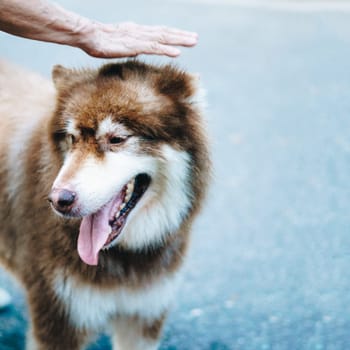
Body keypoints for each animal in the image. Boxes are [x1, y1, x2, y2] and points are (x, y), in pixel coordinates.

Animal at [0, 60, 209, 350]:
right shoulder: (59, 318)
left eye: (117, 139)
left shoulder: (143, 316)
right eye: (72, 138)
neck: (124, 258)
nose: (59, 200)